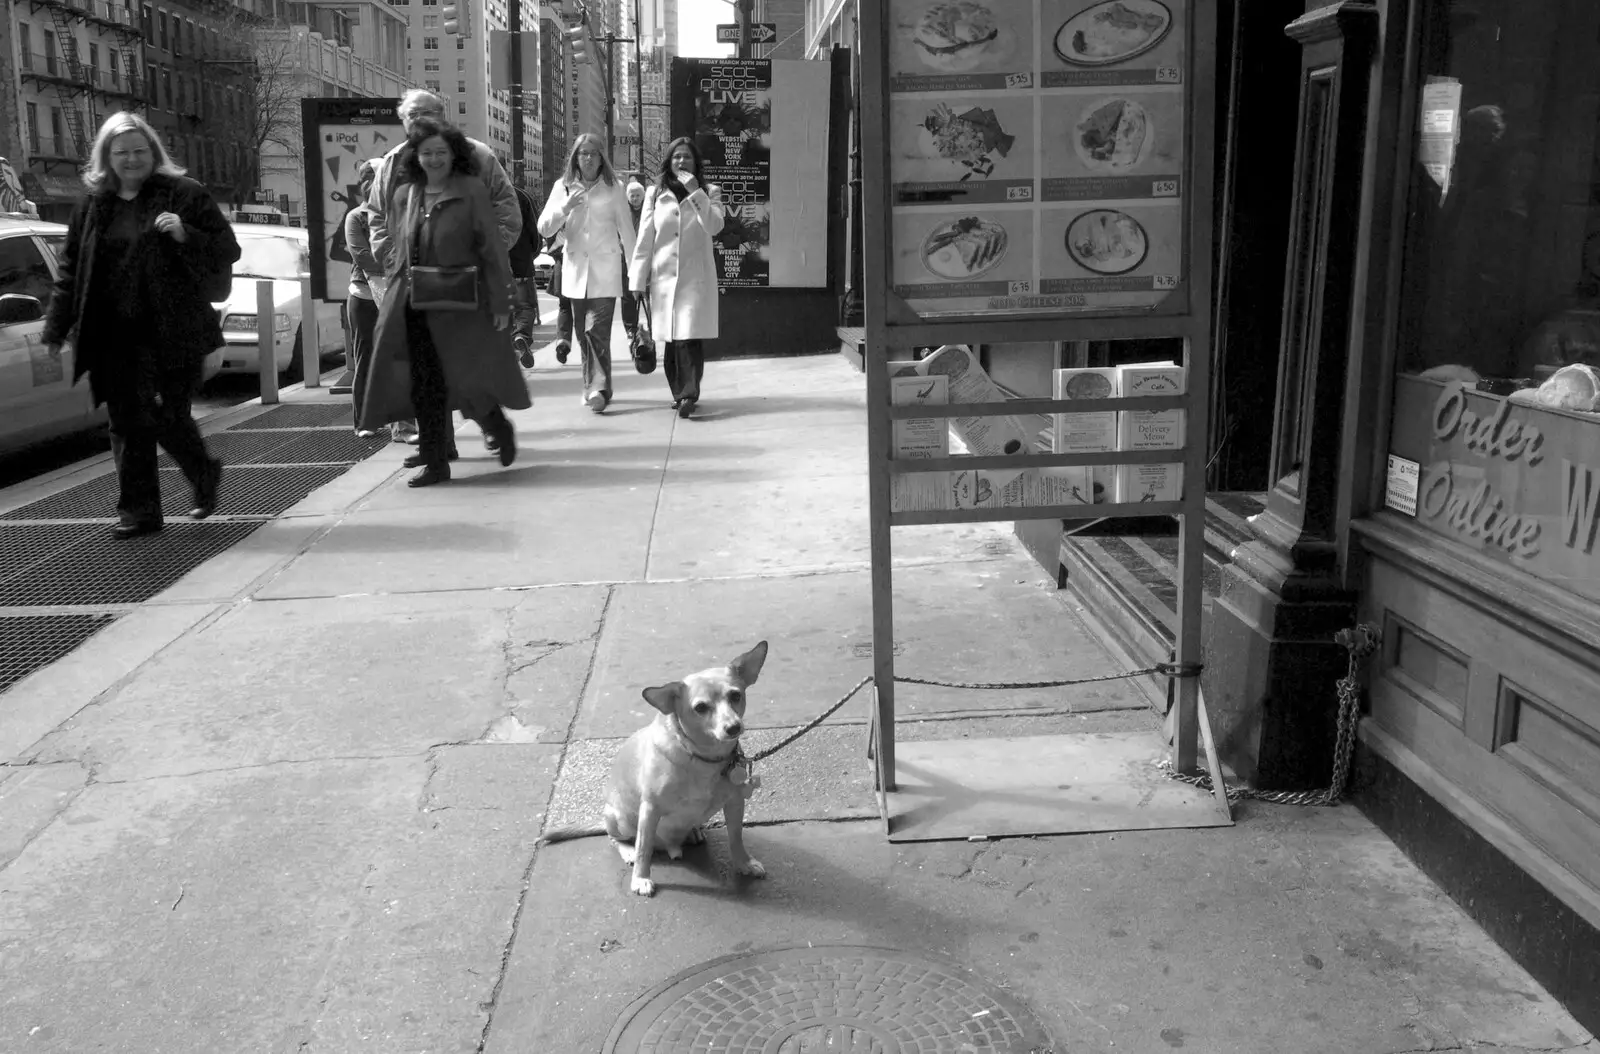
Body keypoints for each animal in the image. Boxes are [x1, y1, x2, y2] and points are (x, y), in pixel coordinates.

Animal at [544, 639, 768, 895]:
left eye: (735, 695)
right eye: (701, 707)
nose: (733, 727)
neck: (702, 758)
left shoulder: (735, 803)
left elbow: (736, 838)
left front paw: (744, 863)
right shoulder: (650, 809)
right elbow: (644, 849)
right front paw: (640, 878)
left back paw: (692, 832)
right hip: (619, 819)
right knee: (617, 839)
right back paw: (628, 851)